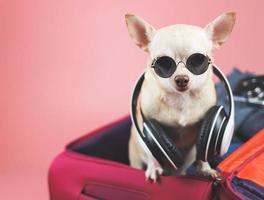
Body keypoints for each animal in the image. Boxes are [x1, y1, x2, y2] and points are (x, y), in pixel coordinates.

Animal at [125, 12, 236, 181]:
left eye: (198, 61)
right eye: (163, 63)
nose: (182, 79)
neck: (181, 98)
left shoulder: (202, 127)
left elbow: (202, 153)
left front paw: (206, 170)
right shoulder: (146, 125)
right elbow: (152, 151)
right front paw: (154, 168)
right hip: (135, 153)